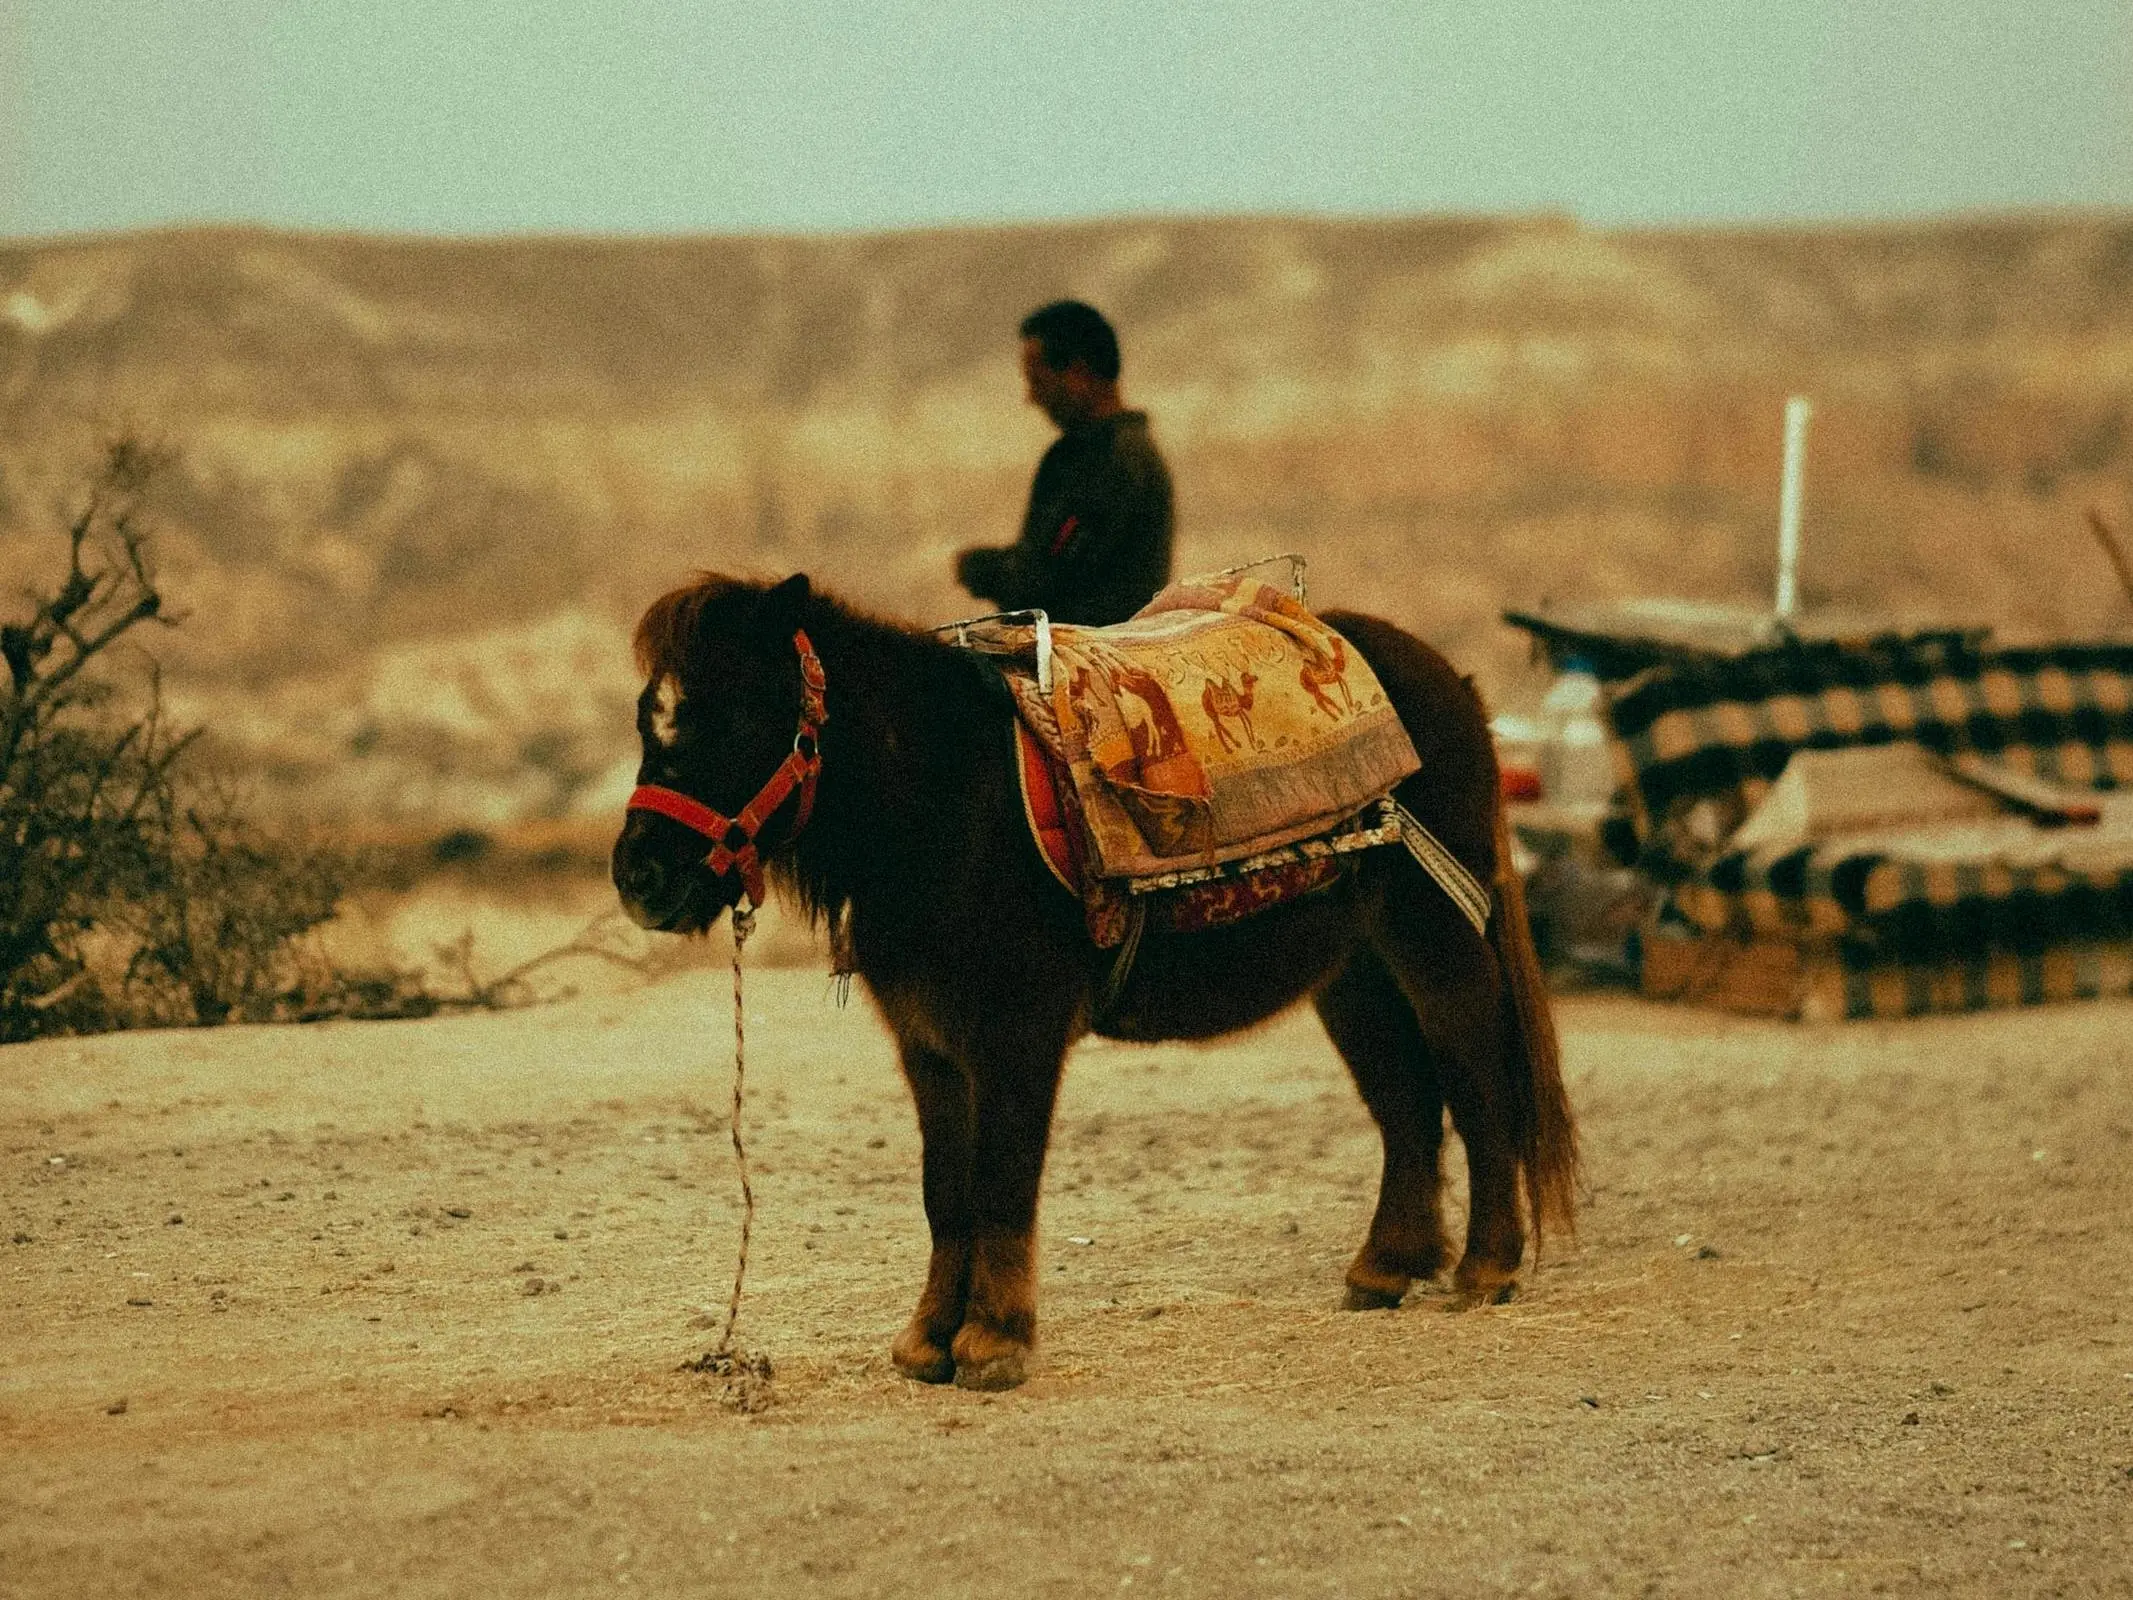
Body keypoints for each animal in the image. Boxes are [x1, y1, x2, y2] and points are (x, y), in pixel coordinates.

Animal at [610, 576, 1578, 1390]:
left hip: (1433, 937)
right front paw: (928, 1342)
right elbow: (945, 1194)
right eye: (648, 724)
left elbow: (1001, 1184)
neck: (947, 803)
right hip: (1351, 973)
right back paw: (1385, 1268)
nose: (638, 878)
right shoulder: (930, 1048)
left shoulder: (1016, 1036)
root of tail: (1450, 682)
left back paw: (1485, 1268)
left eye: (734, 720)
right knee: (1405, 1102)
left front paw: (994, 1343)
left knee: (1476, 1081)